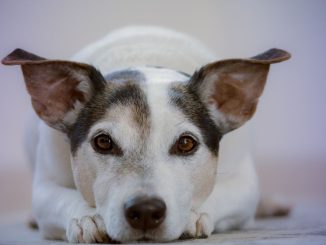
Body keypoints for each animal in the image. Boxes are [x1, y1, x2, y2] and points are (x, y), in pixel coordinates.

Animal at [0, 25, 290, 242]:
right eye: (103, 142)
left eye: (186, 143)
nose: (146, 211)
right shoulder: (45, 186)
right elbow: (61, 198)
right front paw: (87, 217)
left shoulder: (244, 184)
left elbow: (223, 193)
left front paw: (193, 215)